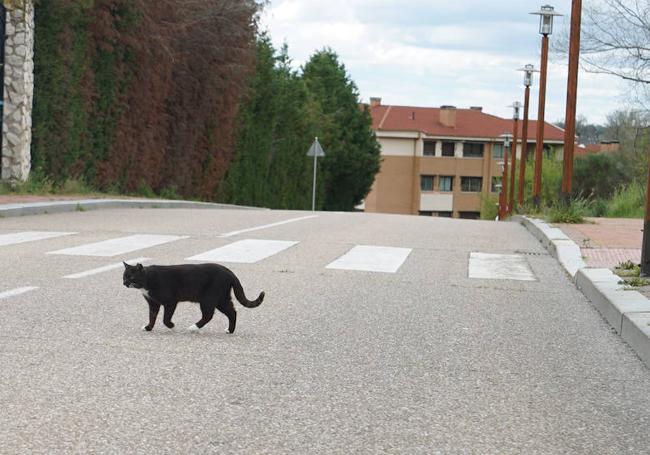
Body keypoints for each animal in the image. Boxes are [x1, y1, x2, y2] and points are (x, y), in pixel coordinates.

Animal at [121, 262, 264, 334]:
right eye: (124, 276)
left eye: (131, 277)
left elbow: (165, 318)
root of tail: (229, 272)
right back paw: (230, 330)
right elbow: (152, 316)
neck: (147, 280)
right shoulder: (153, 303)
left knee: (208, 315)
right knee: (232, 312)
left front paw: (172, 326)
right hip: (221, 299)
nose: (124, 283)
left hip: (208, 299)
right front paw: (148, 328)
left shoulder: (170, 302)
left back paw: (193, 327)